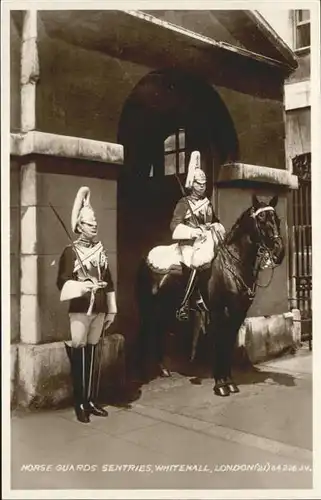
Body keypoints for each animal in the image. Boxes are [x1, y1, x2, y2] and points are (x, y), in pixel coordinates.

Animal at [134, 194, 284, 394]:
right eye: (261, 219)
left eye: (277, 220)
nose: (279, 252)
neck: (233, 265)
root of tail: (146, 258)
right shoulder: (218, 312)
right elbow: (219, 343)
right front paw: (221, 384)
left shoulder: (237, 313)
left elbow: (228, 343)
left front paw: (229, 382)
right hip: (148, 308)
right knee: (145, 332)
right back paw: (142, 374)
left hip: (164, 308)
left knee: (157, 331)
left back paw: (163, 369)